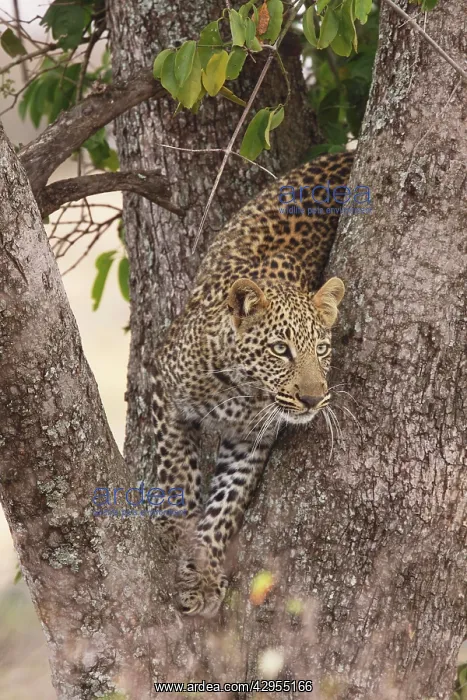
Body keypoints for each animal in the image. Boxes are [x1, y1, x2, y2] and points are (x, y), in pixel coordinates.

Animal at [150, 150, 354, 617]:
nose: (314, 399)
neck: (240, 390)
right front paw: (177, 531)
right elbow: (175, 470)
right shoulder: (162, 383)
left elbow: (226, 503)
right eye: (280, 350)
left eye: (321, 348)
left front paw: (203, 575)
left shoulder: (249, 442)